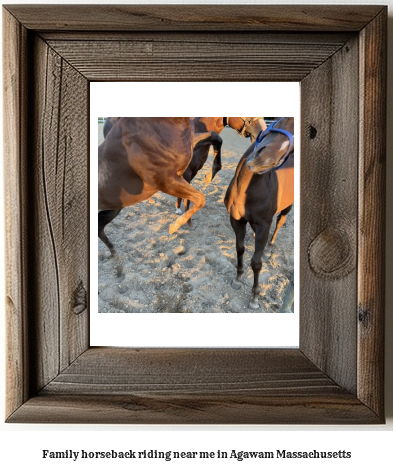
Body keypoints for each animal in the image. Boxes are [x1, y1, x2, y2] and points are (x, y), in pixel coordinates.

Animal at [98, 118, 222, 256]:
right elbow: (200, 198)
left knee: (99, 228)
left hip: (113, 208)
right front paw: (174, 226)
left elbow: (215, 137)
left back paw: (113, 251)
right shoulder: (166, 181)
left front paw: (210, 175)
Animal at [224, 117, 294, 310]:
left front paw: (254, 297)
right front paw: (238, 279)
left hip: (287, 208)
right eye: (285, 118)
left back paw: (269, 247)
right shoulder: (236, 221)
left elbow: (256, 263)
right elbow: (239, 249)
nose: (264, 159)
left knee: (279, 223)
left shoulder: (263, 226)